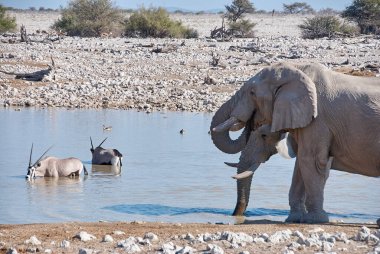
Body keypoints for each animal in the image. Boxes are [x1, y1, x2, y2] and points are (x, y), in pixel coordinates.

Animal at [211, 62, 380, 223]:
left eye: (252, 93)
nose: (235, 215)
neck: (298, 70)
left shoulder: (318, 121)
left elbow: (312, 161)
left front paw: (315, 220)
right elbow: (300, 165)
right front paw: (294, 219)